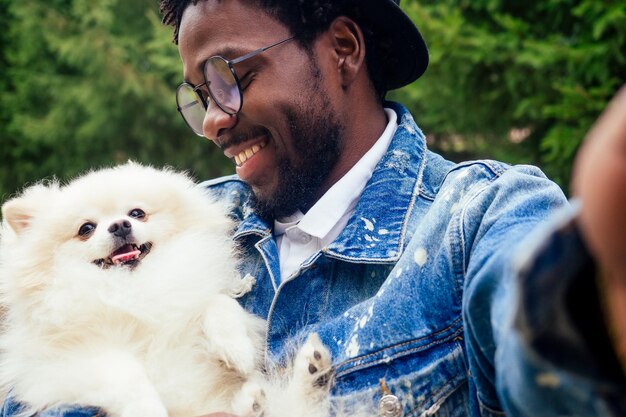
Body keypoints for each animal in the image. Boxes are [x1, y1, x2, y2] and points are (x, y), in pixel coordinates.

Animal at [0, 162, 334, 416]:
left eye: (136, 213)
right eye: (86, 229)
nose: (119, 225)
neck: (133, 288)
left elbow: (218, 303)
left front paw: (236, 349)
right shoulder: (65, 361)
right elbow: (126, 373)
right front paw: (147, 410)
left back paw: (307, 375)